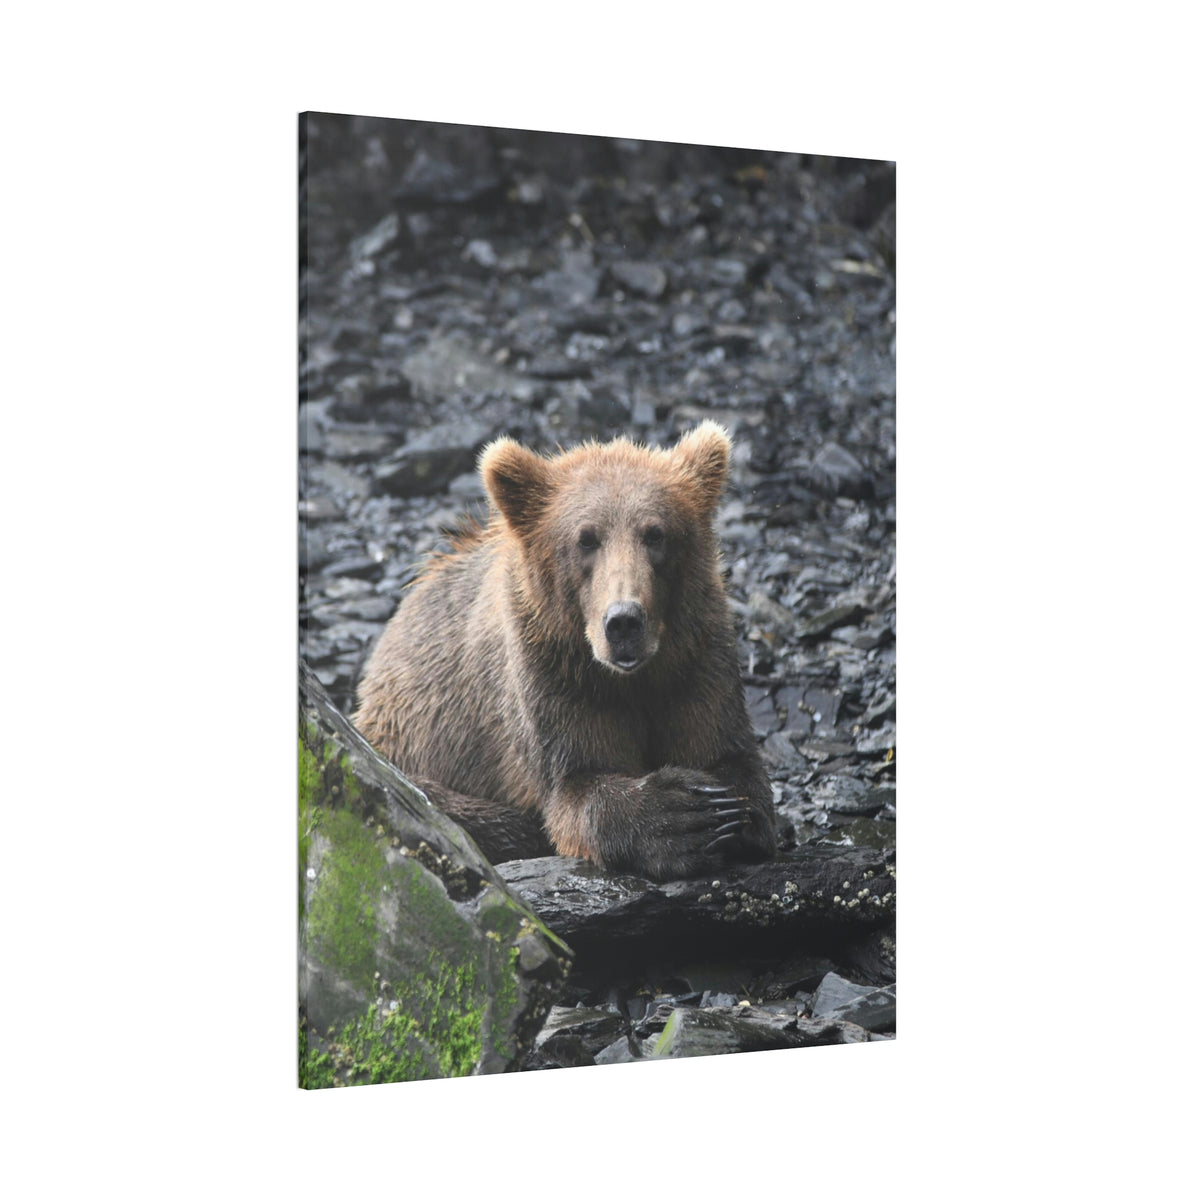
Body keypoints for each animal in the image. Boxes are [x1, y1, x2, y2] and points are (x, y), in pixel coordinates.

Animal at [352, 421, 776, 881]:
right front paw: (682, 816)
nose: (624, 621)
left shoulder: (696, 659)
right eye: (586, 539)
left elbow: (728, 755)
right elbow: (577, 785)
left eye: (655, 534)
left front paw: (726, 810)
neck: (631, 678)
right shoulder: (552, 676)